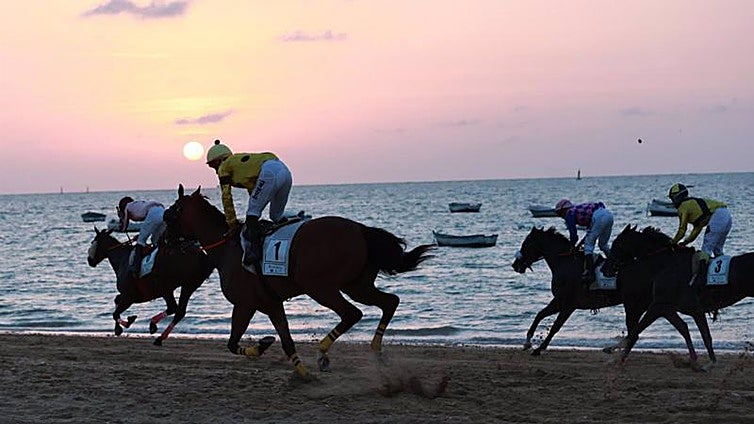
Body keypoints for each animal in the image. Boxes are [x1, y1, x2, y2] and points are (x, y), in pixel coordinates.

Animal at [87, 227, 216, 346]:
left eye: (93, 241)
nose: (89, 260)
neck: (122, 259)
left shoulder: (129, 297)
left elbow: (115, 313)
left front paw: (126, 323)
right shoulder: (130, 296)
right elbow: (116, 301)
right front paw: (119, 327)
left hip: (166, 286)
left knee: (173, 307)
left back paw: (154, 326)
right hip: (189, 285)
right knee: (179, 311)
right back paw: (159, 336)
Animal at [162, 185, 435, 378]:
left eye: (170, 214)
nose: (164, 240)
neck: (227, 249)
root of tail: (360, 229)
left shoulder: (248, 304)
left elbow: (239, 342)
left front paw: (271, 353)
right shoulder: (266, 304)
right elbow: (279, 340)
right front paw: (281, 358)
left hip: (319, 286)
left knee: (352, 313)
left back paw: (323, 353)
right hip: (357, 285)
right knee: (390, 302)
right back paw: (375, 351)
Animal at [511, 227, 624, 355]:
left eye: (526, 244)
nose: (514, 265)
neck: (566, 263)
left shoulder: (567, 304)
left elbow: (555, 326)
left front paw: (539, 348)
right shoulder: (560, 302)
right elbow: (540, 315)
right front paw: (527, 342)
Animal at [601, 225, 754, 370]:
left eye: (617, 245)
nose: (604, 269)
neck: (667, 265)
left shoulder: (658, 305)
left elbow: (636, 329)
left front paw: (612, 351)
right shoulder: (675, 308)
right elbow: (691, 330)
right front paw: (700, 360)